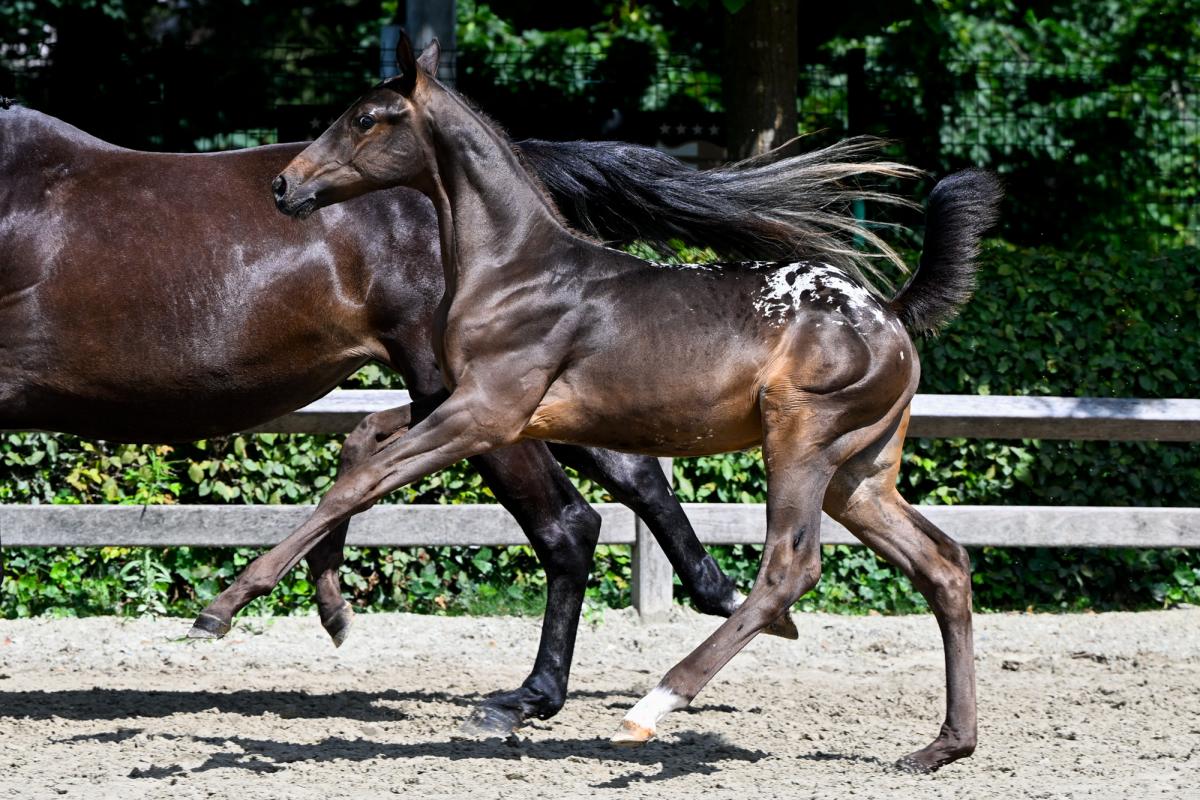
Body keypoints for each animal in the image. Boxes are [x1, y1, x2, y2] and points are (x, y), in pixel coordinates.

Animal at [0, 94, 902, 734]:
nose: (288, 188)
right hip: (498, 399)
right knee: (620, 472)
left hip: (474, 402)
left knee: (567, 522)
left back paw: (533, 690)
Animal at [201, 38, 998, 777]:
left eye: (366, 118)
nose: (284, 185)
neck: (519, 270)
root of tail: (890, 312)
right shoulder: (468, 405)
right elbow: (360, 446)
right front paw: (331, 608)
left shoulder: (485, 413)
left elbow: (361, 482)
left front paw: (224, 605)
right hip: (858, 475)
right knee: (943, 564)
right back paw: (942, 747)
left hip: (800, 444)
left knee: (788, 570)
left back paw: (652, 706)